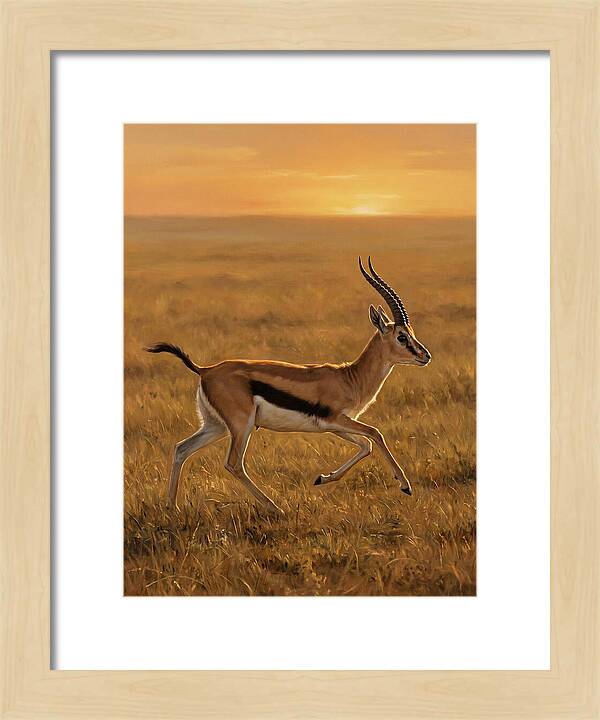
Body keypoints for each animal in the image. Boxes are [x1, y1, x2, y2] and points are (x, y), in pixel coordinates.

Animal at [146, 257, 431, 514]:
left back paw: (172, 507)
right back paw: (275, 508)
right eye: (401, 336)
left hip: (216, 426)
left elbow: (366, 445)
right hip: (241, 425)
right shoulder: (337, 419)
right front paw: (405, 486)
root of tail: (206, 370)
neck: (350, 377)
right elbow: (375, 434)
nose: (425, 355)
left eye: (412, 333)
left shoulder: (334, 426)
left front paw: (322, 478)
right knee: (233, 464)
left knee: (181, 449)